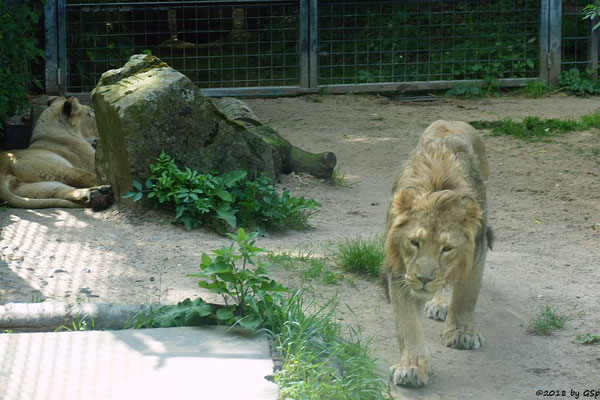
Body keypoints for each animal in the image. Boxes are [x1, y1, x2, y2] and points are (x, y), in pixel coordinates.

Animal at [380, 119, 492, 388]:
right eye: (414, 242)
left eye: (447, 248)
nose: (424, 279)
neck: (437, 186)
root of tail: (452, 121)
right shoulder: (401, 269)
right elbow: (407, 322)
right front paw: (411, 367)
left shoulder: (476, 253)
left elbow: (466, 297)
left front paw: (462, 333)